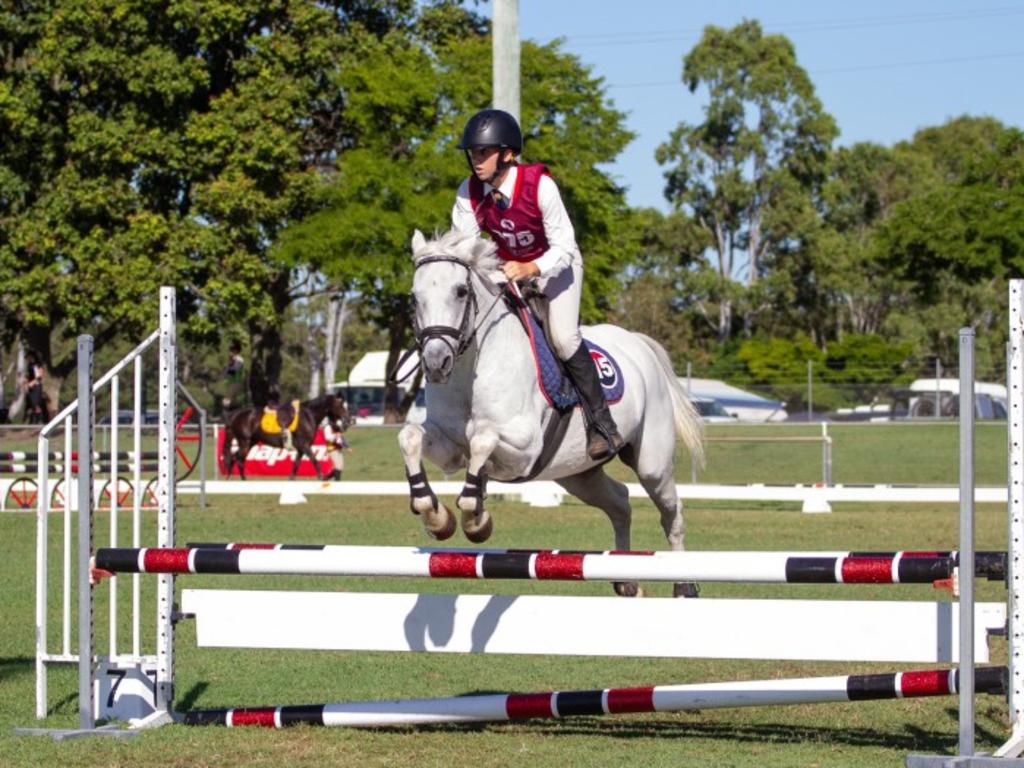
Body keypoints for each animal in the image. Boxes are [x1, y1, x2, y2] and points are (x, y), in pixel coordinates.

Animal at [222, 397, 354, 481]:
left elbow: (296, 465)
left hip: (250, 443)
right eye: (340, 406)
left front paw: (291, 479)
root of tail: (236, 414)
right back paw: (238, 478)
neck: (308, 415)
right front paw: (322, 476)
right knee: (236, 458)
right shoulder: (305, 446)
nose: (348, 421)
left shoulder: (301, 449)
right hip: (245, 442)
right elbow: (314, 460)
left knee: (237, 458)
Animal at [397, 231, 704, 598]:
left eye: (460, 291)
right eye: (414, 298)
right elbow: (410, 437)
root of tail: (638, 344)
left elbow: (482, 440)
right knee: (620, 502)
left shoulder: (525, 448)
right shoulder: (449, 448)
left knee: (672, 514)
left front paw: (475, 520)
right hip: (578, 473)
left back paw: (684, 586)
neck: (471, 368)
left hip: (652, 464)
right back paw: (627, 581)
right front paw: (436, 516)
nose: (435, 363)